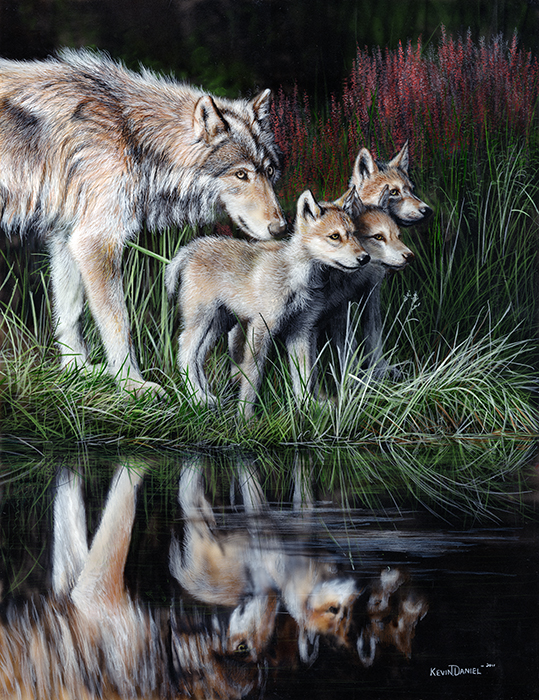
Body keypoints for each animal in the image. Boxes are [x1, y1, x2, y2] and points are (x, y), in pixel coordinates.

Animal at [0, 49, 286, 397]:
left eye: (269, 171)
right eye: (241, 174)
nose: (281, 228)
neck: (131, 133)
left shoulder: (67, 237)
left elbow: (71, 311)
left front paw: (77, 370)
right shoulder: (96, 242)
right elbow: (118, 322)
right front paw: (131, 385)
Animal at [166, 187, 369, 417]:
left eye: (354, 234)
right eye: (335, 236)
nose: (365, 258)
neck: (298, 279)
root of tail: (194, 247)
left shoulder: (301, 330)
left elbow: (303, 374)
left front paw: (308, 405)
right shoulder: (261, 327)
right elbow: (253, 376)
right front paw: (245, 417)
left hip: (218, 324)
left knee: (198, 357)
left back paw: (207, 397)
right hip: (202, 319)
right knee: (186, 352)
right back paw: (197, 398)